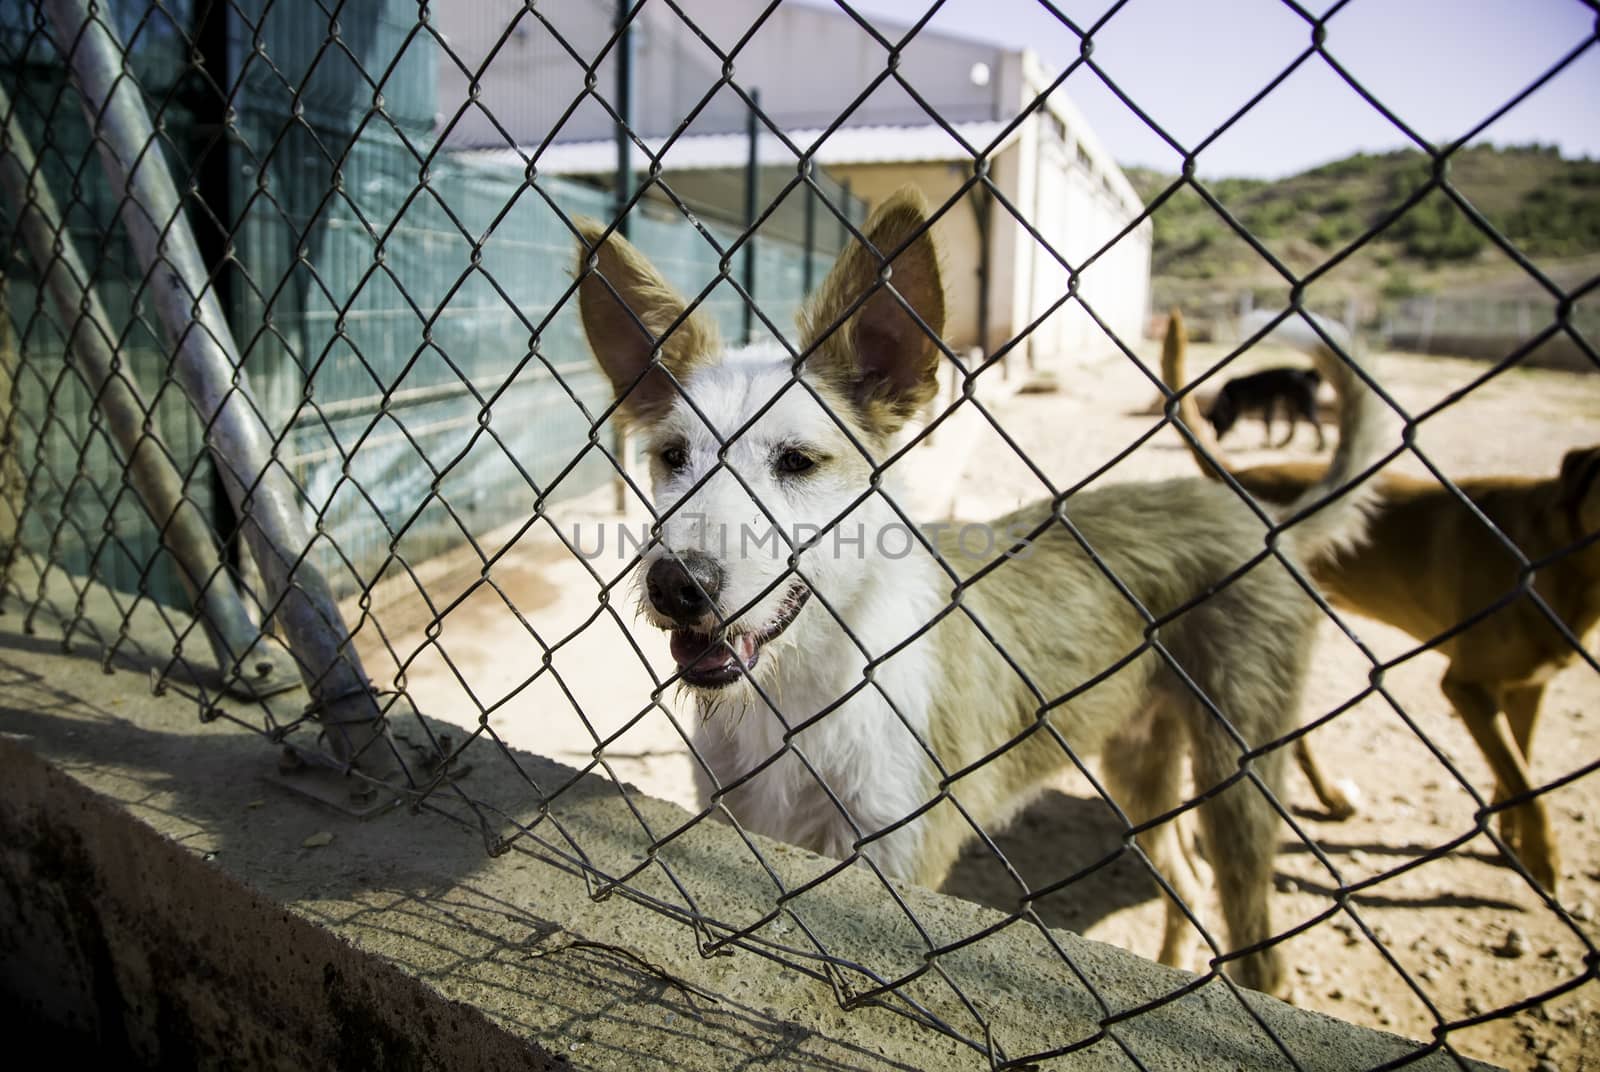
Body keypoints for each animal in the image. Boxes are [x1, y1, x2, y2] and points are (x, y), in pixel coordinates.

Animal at [572, 195, 1388, 998]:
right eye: (672, 457)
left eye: (798, 462)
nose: (677, 583)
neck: (800, 693)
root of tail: (1261, 515)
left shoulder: (894, 856)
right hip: (1142, 762)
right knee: (1184, 881)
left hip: (1238, 775)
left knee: (1261, 957)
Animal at [1164, 307, 1600, 896]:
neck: (1558, 552)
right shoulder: (1466, 685)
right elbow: (1523, 779)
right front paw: (1542, 861)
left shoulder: (1528, 687)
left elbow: (1520, 768)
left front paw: (1513, 837)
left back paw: (1322, 799)